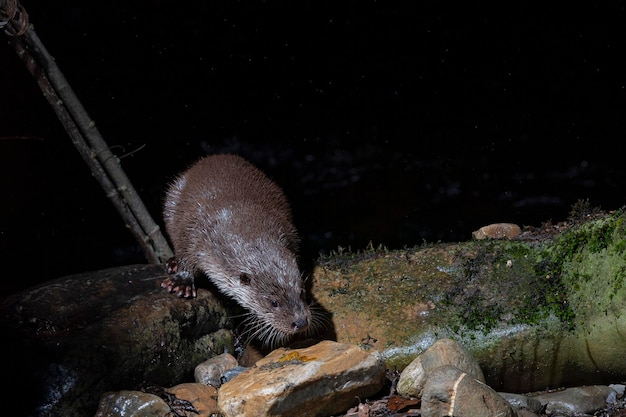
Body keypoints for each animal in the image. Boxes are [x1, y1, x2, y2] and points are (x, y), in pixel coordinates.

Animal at [160, 153, 308, 344]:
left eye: (302, 292)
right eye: (274, 303)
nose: (301, 322)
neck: (241, 218)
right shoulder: (193, 230)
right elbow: (185, 252)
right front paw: (181, 282)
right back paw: (172, 263)